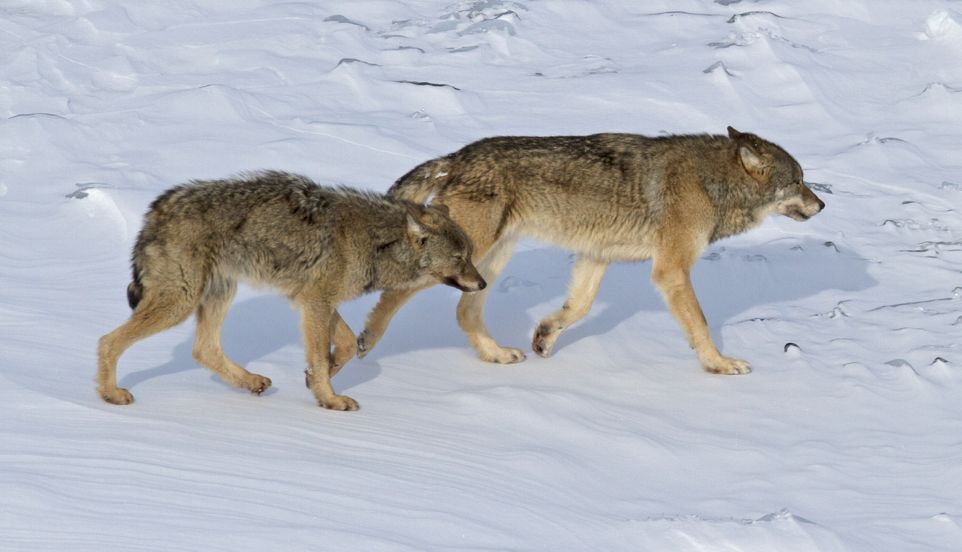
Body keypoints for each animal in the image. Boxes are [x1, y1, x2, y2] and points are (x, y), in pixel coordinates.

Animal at [96, 171, 485, 410]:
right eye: (460, 258)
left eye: (469, 255)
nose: (481, 284)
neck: (376, 243)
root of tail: (156, 209)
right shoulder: (316, 303)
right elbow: (323, 354)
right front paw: (331, 400)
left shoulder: (313, 302)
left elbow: (345, 345)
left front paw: (318, 379)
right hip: (181, 302)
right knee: (107, 340)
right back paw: (110, 394)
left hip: (219, 294)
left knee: (203, 350)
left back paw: (251, 381)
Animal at [358, 127, 824, 375]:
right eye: (799, 181)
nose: (822, 205)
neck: (711, 183)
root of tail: (455, 157)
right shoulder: (671, 270)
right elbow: (701, 324)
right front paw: (719, 364)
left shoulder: (597, 256)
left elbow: (576, 308)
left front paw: (544, 336)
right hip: (463, 257)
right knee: (396, 293)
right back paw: (365, 340)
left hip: (487, 262)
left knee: (463, 312)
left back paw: (496, 354)